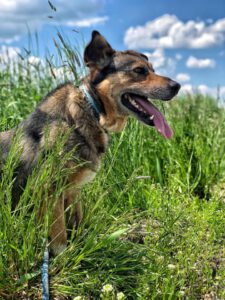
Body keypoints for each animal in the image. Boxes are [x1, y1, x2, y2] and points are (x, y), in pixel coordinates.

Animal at [0, 31, 180, 255]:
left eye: (152, 69)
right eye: (139, 71)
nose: (177, 86)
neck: (91, 110)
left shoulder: (73, 191)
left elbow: (78, 224)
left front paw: (84, 248)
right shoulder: (49, 189)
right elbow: (59, 234)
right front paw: (64, 257)